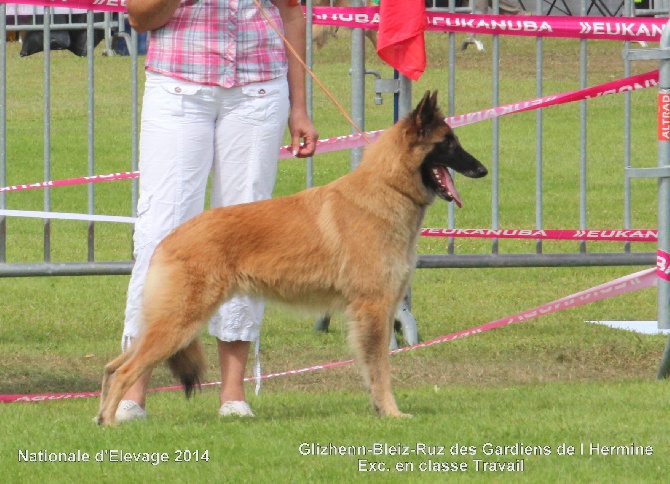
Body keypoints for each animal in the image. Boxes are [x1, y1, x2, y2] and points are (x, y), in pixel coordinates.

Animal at [97, 91, 488, 424]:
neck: (388, 187)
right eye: (448, 143)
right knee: (127, 370)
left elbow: (371, 368)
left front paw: (380, 410)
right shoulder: (374, 309)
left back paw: (103, 417)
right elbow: (380, 369)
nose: (483, 170)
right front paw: (392, 413)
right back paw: (112, 423)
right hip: (178, 323)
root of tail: (168, 239)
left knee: (113, 366)